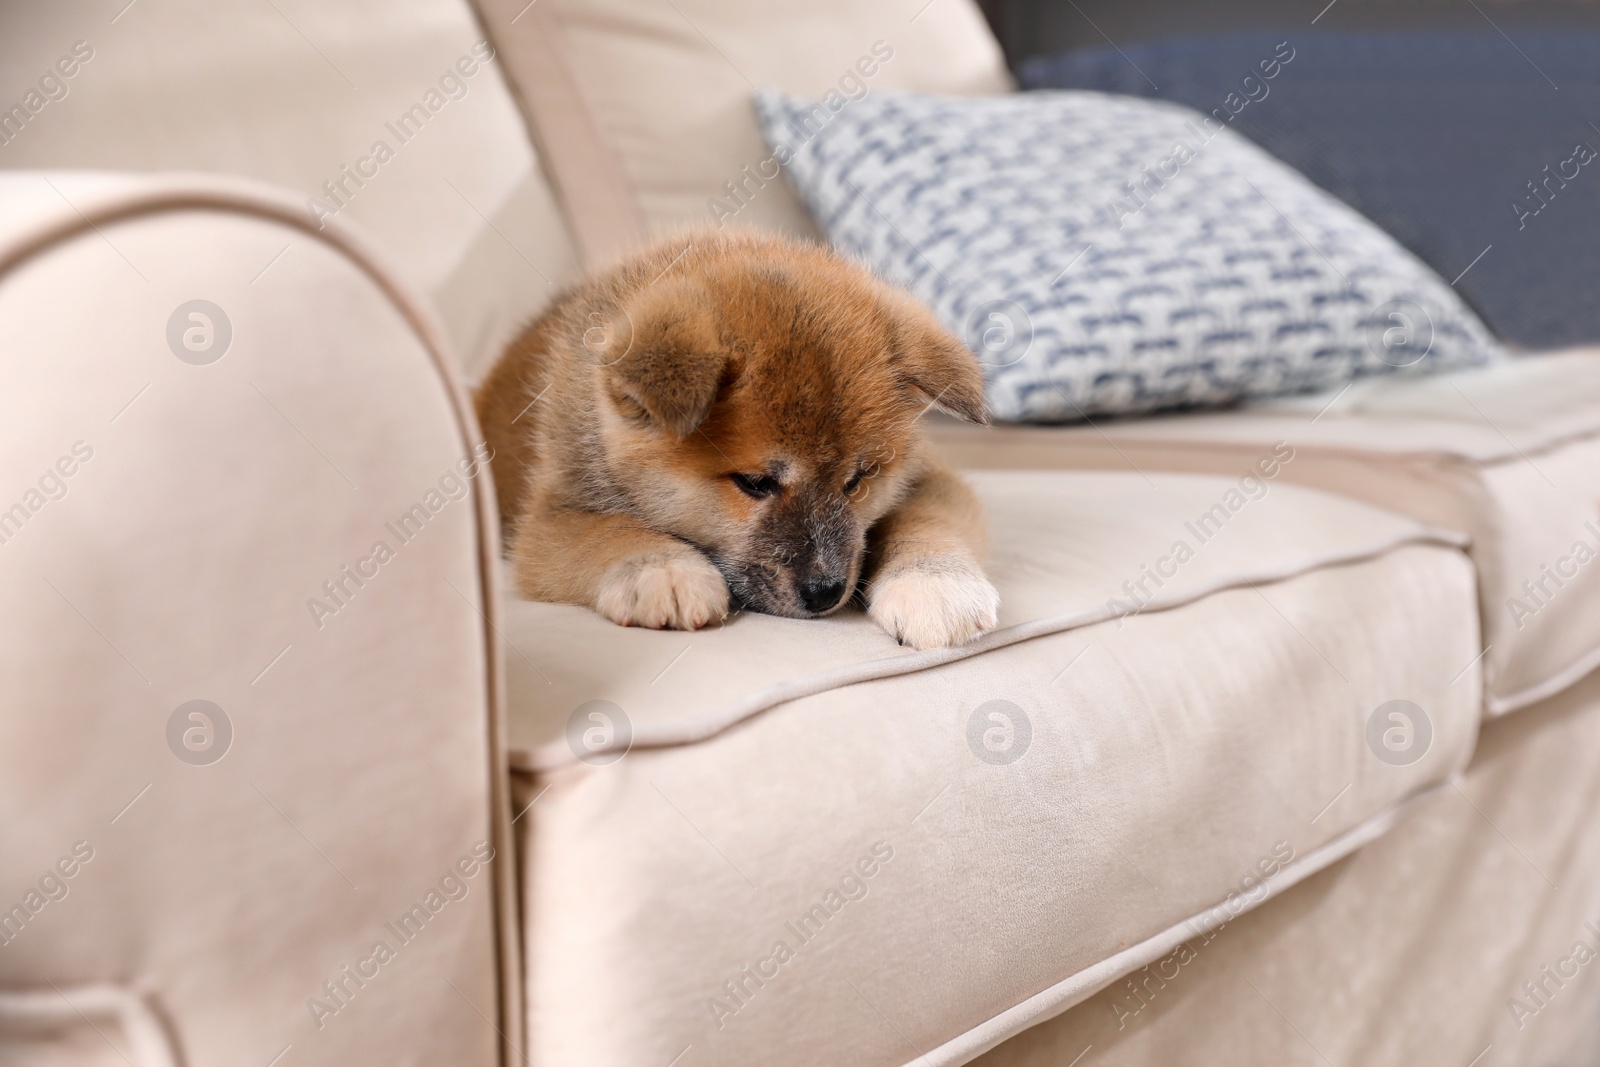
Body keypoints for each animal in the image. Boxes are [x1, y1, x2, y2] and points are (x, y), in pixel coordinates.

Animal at [473, 231, 998, 652]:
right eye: (755, 483)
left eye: (858, 480)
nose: (826, 591)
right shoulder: (547, 521)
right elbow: (604, 531)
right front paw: (663, 569)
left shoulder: (932, 478)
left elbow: (922, 519)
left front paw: (936, 583)